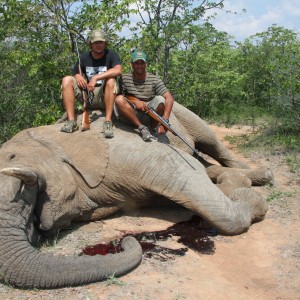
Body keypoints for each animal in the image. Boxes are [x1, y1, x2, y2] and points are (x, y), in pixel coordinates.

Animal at [0, 102, 274, 288]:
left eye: (24, 188)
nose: (124, 241)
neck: (55, 139)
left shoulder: (124, 151)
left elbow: (184, 171)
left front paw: (252, 198)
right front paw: (234, 187)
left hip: (185, 116)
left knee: (211, 143)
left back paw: (261, 175)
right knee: (206, 162)